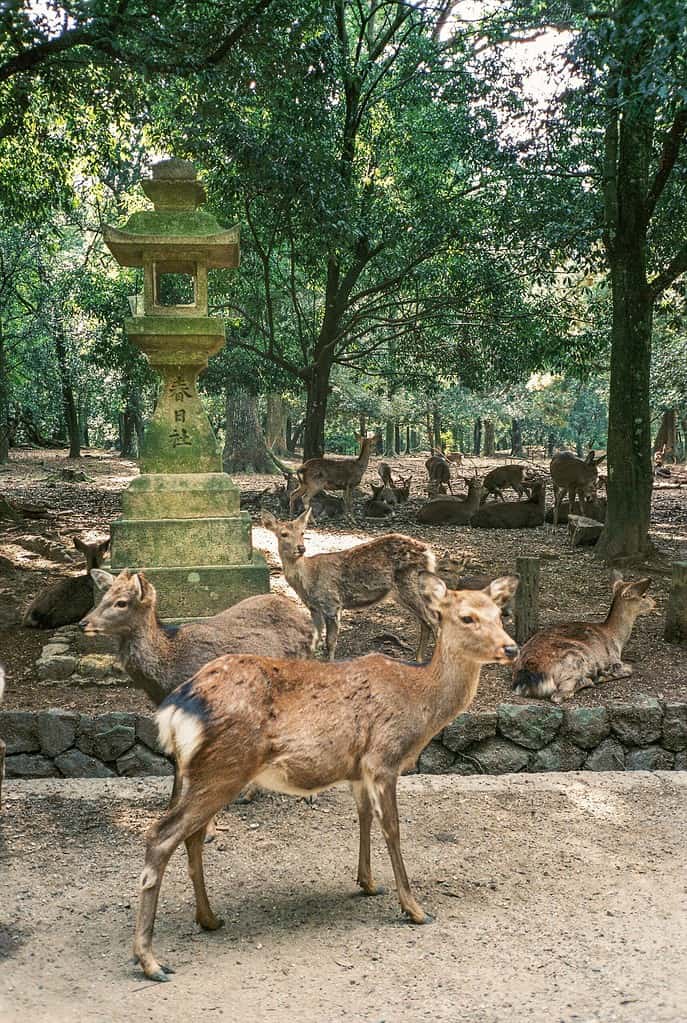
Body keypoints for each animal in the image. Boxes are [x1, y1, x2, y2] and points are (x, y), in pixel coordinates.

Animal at [131, 572, 517, 977]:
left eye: (500, 614)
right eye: (467, 617)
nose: (511, 648)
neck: (420, 702)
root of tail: (175, 708)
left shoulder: (358, 769)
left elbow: (363, 818)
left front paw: (368, 883)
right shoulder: (383, 758)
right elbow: (392, 828)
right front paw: (415, 909)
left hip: (194, 772)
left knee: (192, 835)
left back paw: (208, 919)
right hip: (224, 768)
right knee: (161, 835)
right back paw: (151, 960)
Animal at [263, 507, 439, 658]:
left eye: (302, 532)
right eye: (283, 534)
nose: (301, 548)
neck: (307, 580)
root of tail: (429, 554)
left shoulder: (332, 603)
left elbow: (330, 643)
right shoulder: (314, 608)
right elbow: (314, 640)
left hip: (410, 584)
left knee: (434, 622)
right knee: (425, 623)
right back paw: (418, 659)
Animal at [509, 572, 654, 707]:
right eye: (644, 595)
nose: (655, 602)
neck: (617, 639)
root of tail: (525, 680)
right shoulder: (614, 659)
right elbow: (630, 668)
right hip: (576, 658)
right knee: (558, 695)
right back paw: (593, 678)